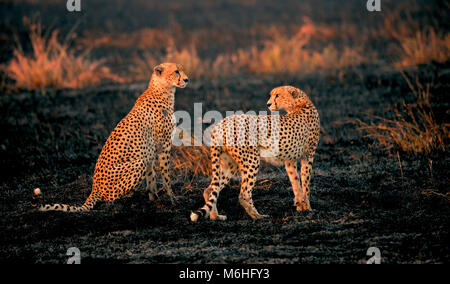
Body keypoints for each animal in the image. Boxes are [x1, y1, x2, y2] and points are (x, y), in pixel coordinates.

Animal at [32, 62, 190, 213]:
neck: (163, 90)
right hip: (137, 164)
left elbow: (151, 176)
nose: (187, 79)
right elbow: (166, 174)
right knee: (110, 198)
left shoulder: (150, 151)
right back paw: (126, 199)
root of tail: (94, 188)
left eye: (182, 69)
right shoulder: (164, 145)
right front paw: (172, 198)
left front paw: (154, 198)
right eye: (176, 71)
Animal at [190, 85, 320, 221]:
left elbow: (296, 182)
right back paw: (258, 216)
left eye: (277, 95)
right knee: (244, 194)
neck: (299, 104)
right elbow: (306, 183)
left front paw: (301, 206)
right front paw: (308, 208)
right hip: (251, 160)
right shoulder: (309, 155)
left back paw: (216, 216)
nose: (268, 104)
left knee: (210, 189)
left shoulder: (291, 160)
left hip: (229, 164)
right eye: (272, 95)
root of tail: (222, 123)